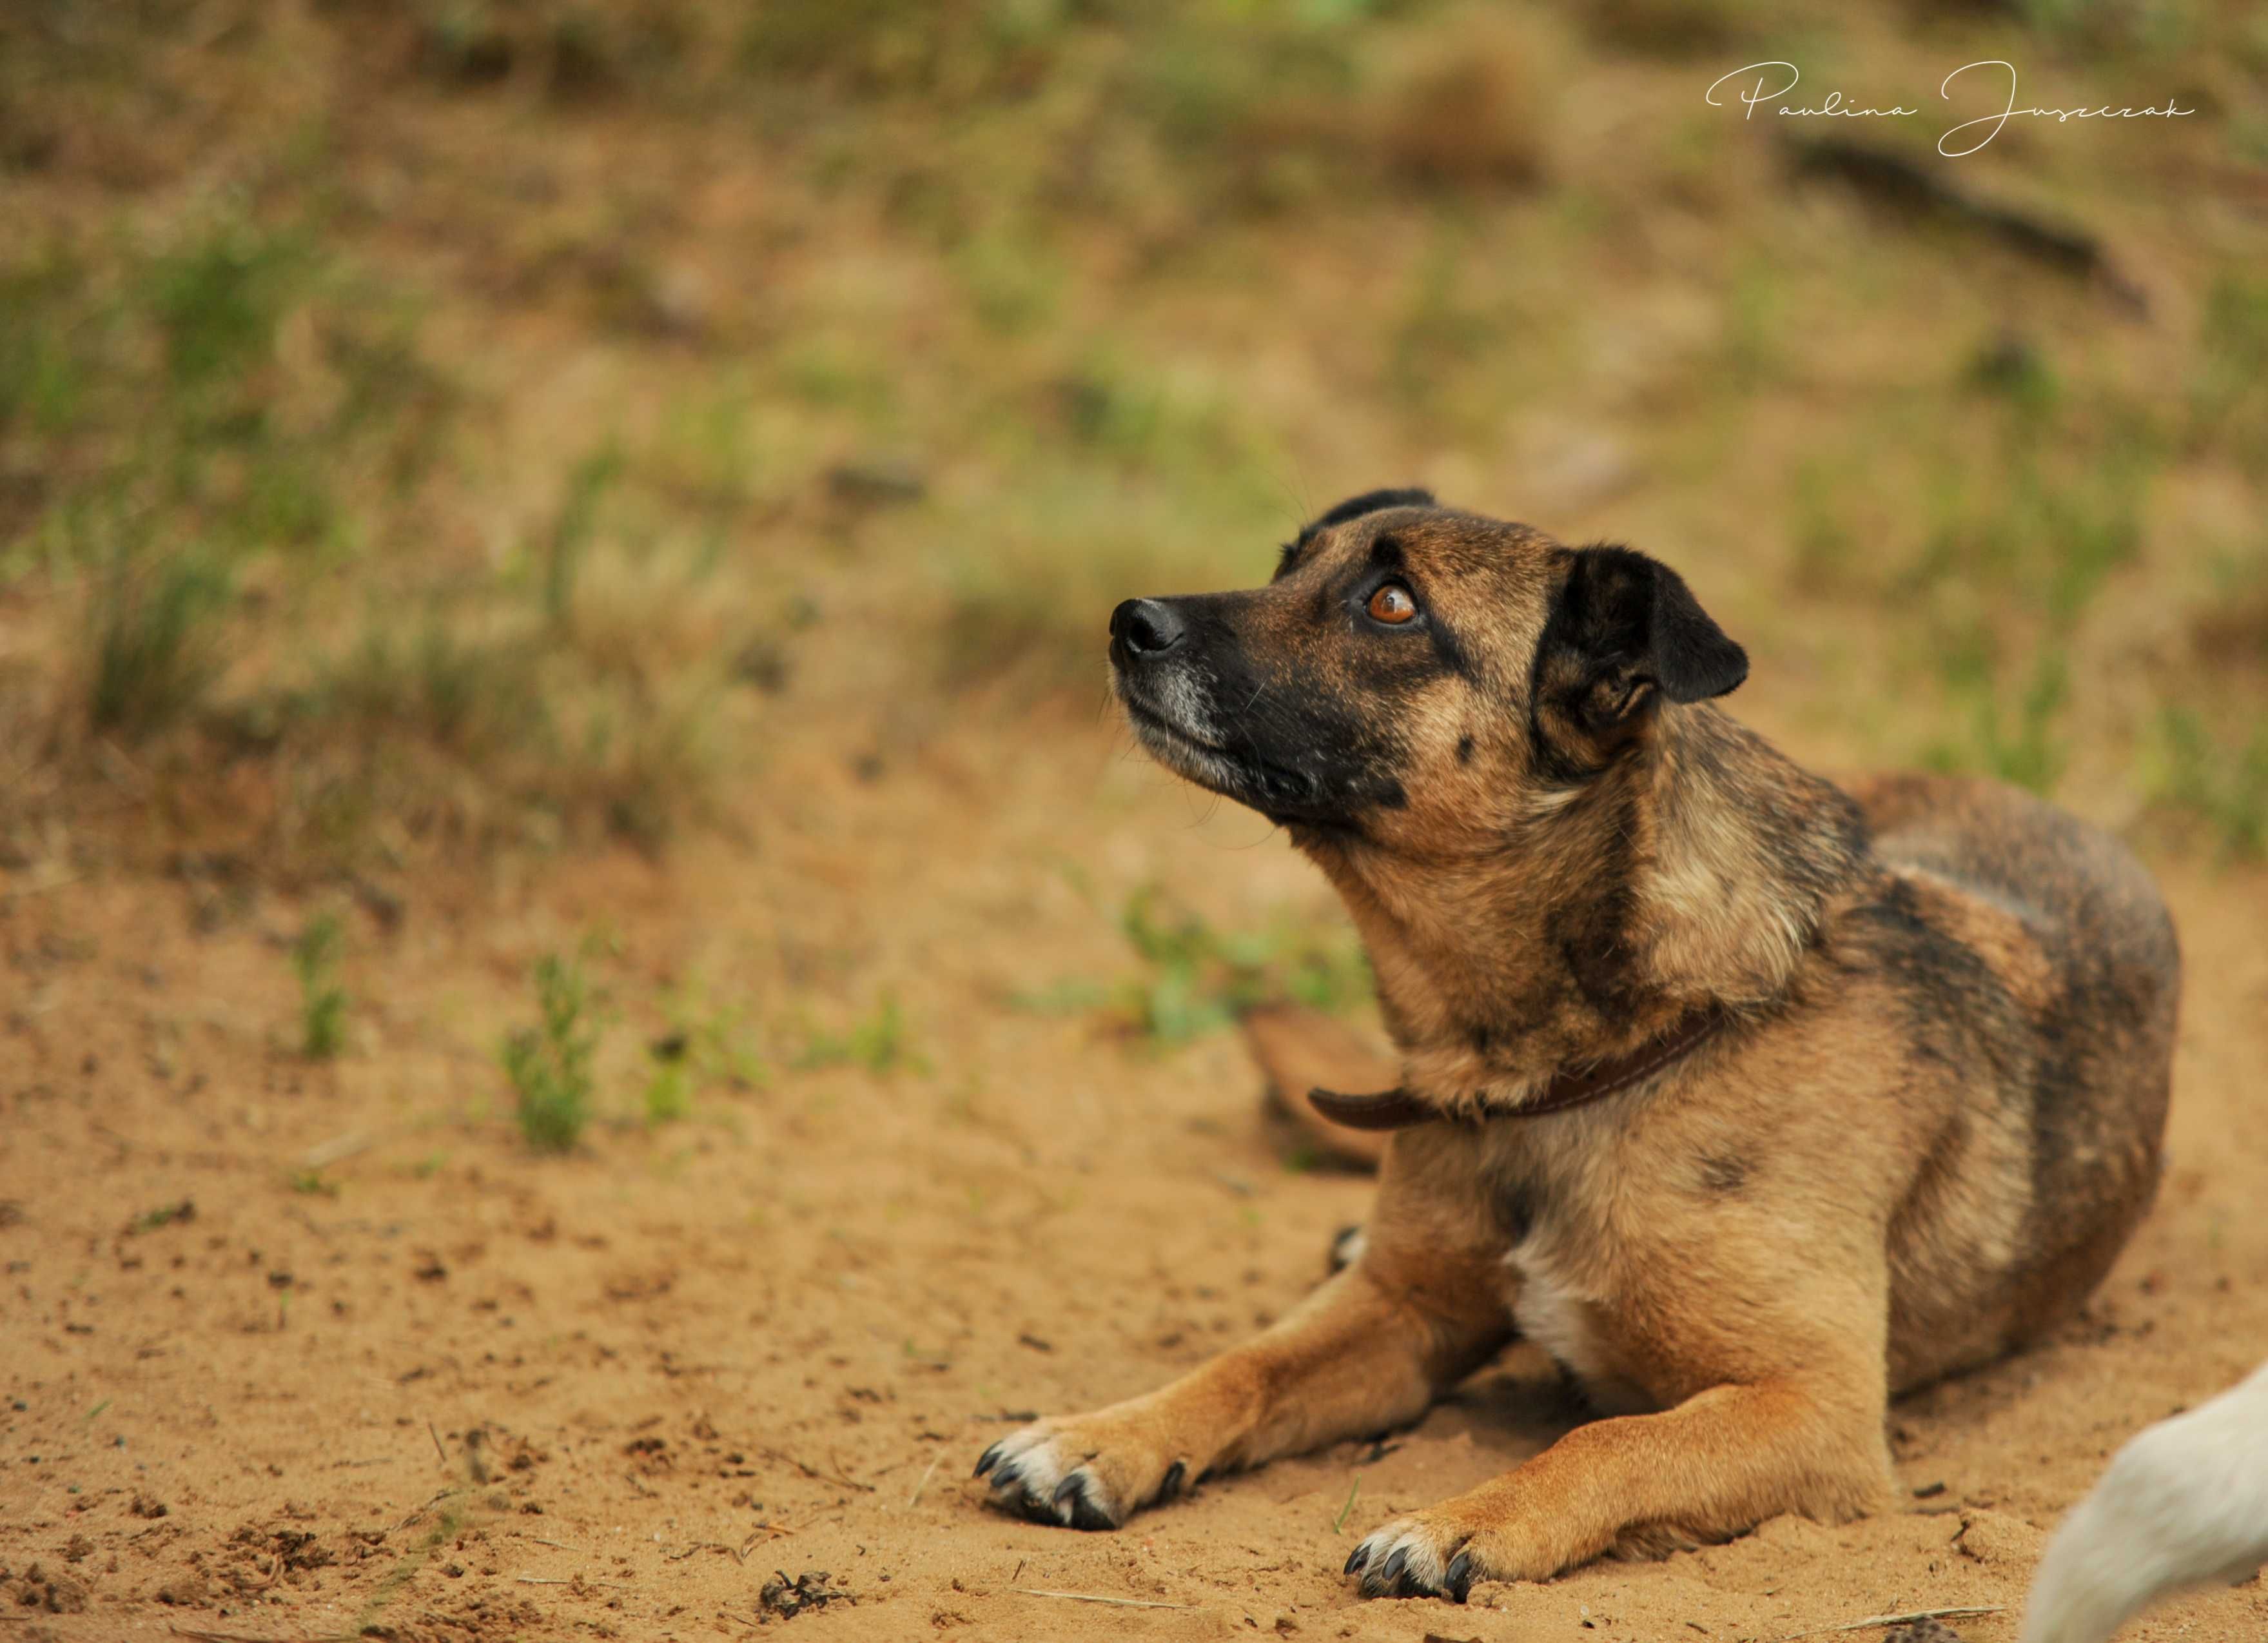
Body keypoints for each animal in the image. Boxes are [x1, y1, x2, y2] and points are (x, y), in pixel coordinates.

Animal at [979, 495, 2177, 1597]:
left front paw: (1467, 1519)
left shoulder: (1815, 1407)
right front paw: (1103, 1433)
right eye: (1287, 566)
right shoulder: (1401, 1310)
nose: (1128, 622)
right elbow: (1246, 1362)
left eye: (1391, 605)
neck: (1581, 1061)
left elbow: (1611, 1439)